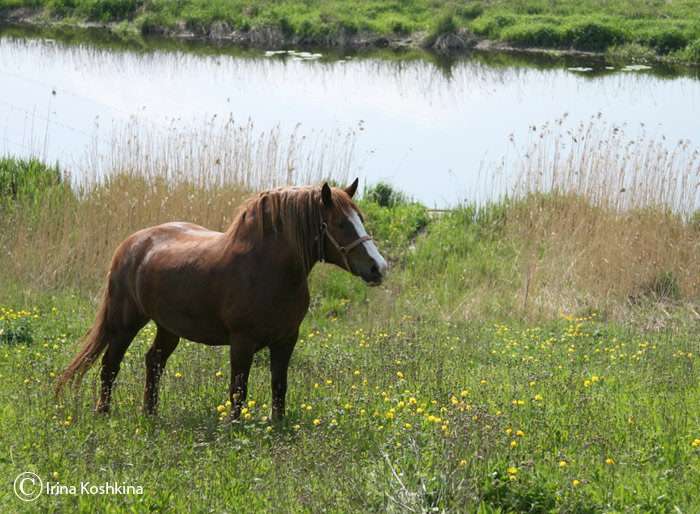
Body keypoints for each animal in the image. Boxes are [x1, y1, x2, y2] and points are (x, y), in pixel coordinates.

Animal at [55, 178, 388, 418]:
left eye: (360, 219)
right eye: (341, 223)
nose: (379, 267)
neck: (266, 268)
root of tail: (132, 243)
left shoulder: (287, 340)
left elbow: (279, 388)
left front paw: (277, 428)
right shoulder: (242, 342)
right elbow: (238, 391)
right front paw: (235, 431)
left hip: (168, 328)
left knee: (153, 362)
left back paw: (150, 414)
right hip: (124, 324)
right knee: (109, 366)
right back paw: (103, 414)